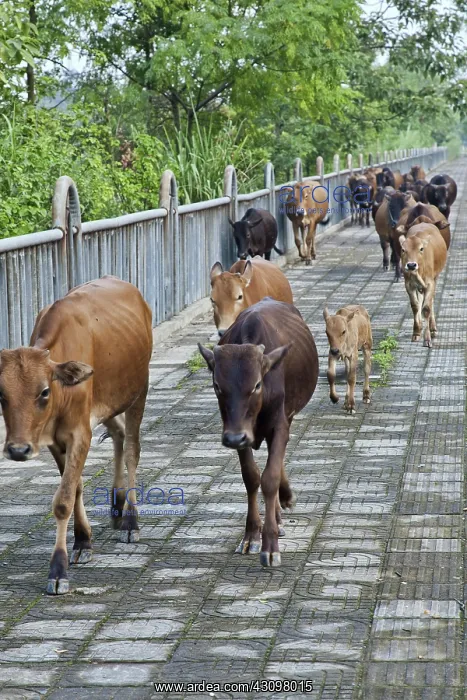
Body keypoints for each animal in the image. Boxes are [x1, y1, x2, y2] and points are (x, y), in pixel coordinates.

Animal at [0, 277, 152, 594]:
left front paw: (58, 570)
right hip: (109, 402)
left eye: (44, 391)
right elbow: (76, 486)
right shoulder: (54, 439)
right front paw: (83, 541)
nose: (18, 450)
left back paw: (130, 520)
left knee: (132, 450)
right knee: (118, 434)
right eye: (1, 394)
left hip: (138, 391)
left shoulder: (79, 432)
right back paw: (117, 504)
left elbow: (63, 500)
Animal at [198, 298, 318, 566]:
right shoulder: (238, 433)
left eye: (256, 385)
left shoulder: (279, 423)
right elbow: (252, 477)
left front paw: (270, 545)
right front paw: (252, 535)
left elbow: (270, 478)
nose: (233, 438)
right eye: (217, 385)